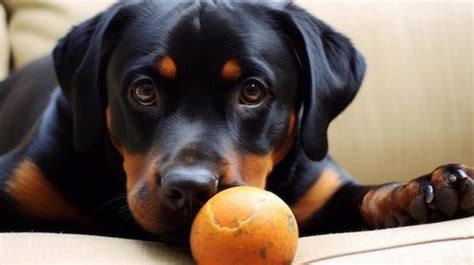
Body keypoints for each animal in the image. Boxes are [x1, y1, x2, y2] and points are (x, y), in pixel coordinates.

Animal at [0, 0, 472, 243]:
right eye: (143, 91)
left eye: (252, 91)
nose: (190, 188)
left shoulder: (321, 193)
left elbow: (367, 194)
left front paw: (426, 190)